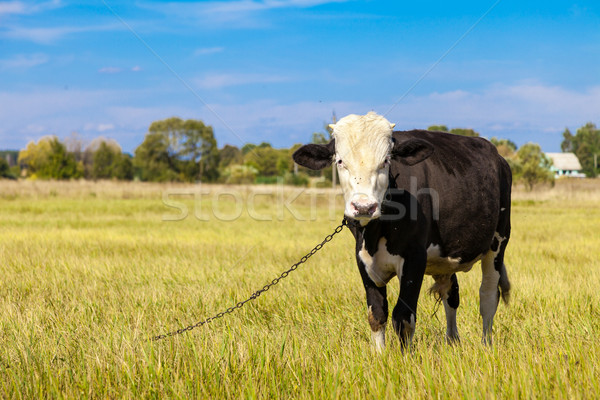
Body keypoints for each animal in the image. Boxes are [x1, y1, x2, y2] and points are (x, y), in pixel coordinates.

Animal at [292, 111, 508, 350]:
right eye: (340, 161)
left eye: (386, 160)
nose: (364, 207)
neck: (377, 231)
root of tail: (498, 157)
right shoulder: (362, 258)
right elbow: (377, 314)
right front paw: (380, 355)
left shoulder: (415, 258)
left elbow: (403, 317)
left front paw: (406, 357)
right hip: (445, 257)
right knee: (451, 294)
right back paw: (452, 340)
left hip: (498, 242)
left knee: (488, 296)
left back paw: (486, 345)